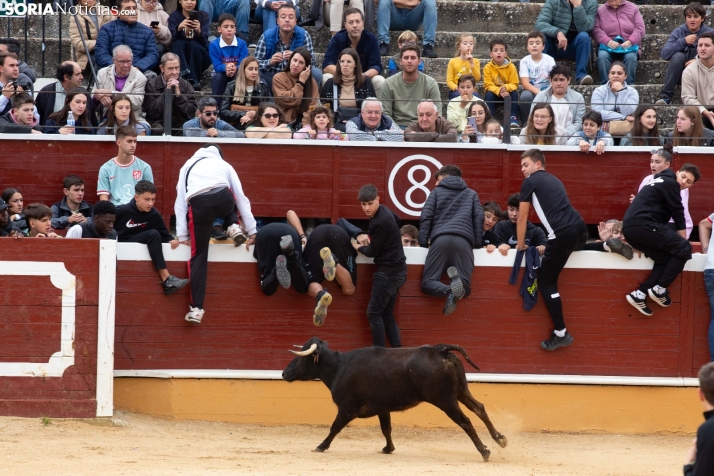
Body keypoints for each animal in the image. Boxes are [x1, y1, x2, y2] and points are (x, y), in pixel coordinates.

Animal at [280, 336, 508, 460]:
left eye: (301, 358)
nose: (283, 373)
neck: (338, 367)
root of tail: (439, 349)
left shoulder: (347, 408)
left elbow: (334, 427)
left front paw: (320, 446)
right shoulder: (382, 408)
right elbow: (386, 428)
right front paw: (388, 449)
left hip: (446, 401)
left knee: (466, 421)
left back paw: (484, 451)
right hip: (461, 392)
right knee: (479, 408)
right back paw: (500, 439)